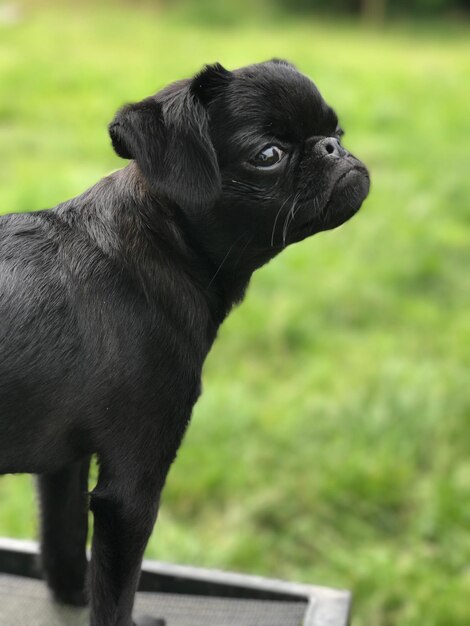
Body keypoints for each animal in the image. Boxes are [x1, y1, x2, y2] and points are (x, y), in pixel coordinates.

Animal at [0, 59, 368, 624]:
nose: (331, 147)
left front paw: (72, 598)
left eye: (337, 131)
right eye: (268, 155)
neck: (161, 243)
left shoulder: (64, 464)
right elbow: (117, 594)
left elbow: (63, 539)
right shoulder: (132, 491)